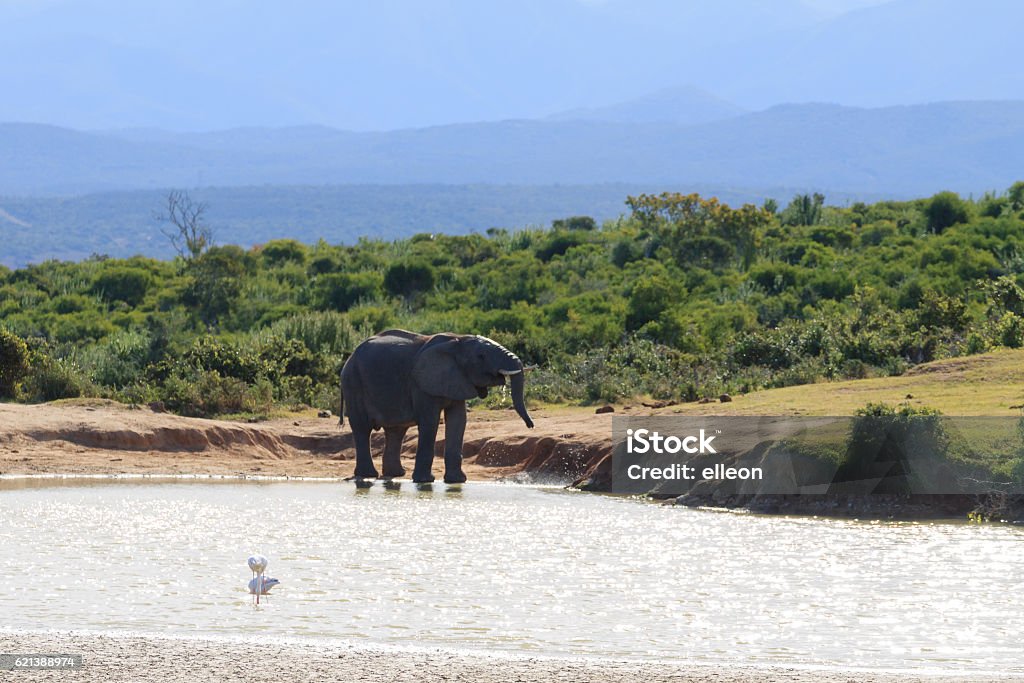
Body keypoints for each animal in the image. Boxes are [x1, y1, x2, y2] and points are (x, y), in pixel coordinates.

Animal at [342, 329, 536, 481]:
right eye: (481, 357)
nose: (530, 425)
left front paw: (457, 481)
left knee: (396, 431)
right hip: (353, 384)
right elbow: (430, 421)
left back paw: (396, 474)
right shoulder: (422, 383)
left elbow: (459, 420)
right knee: (362, 428)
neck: (458, 340)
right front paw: (425, 481)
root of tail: (349, 359)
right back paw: (368, 475)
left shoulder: (456, 379)